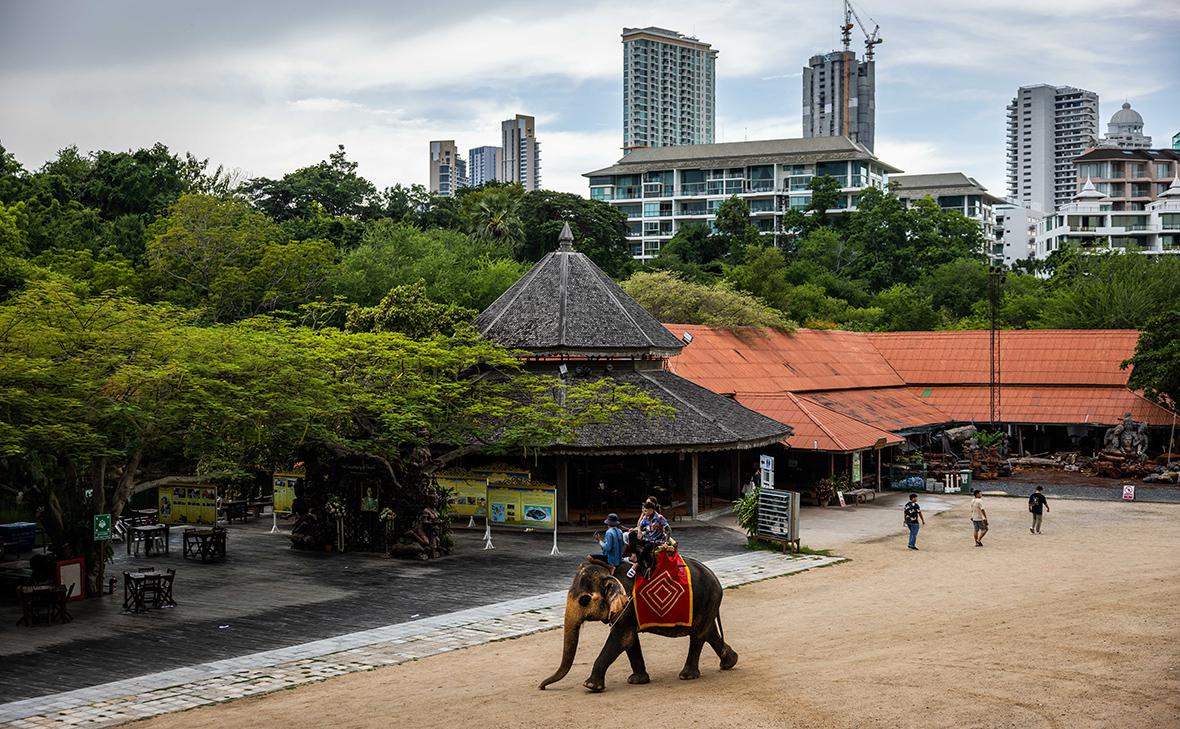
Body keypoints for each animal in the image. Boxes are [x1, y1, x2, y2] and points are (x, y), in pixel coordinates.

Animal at [538, 533, 736, 693]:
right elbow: (630, 640)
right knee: (708, 632)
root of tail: (716, 579)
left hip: (706, 600)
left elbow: (621, 638)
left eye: (584, 600)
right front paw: (637, 681)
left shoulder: (628, 606)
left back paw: (687, 676)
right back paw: (730, 661)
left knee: (698, 636)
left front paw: (590, 686)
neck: (609, 571)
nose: (541, 687)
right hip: (706, 605)